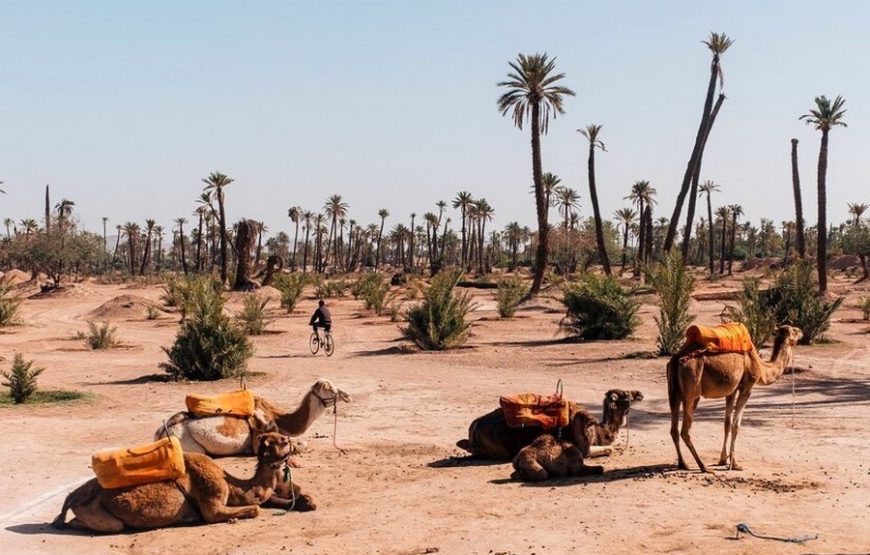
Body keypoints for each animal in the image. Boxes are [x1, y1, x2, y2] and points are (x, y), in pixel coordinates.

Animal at [52, 432, 316, 532]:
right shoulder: (212, 504)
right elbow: (255, 509)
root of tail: (71, 497)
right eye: (283, 440)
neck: (233, 486)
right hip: (99, 514)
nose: (298, 443)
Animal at [157, 380, 350, 458]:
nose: (347, 396)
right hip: (189, 444)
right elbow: (300, 445)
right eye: (328, 387)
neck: (279, 419)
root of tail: (161, 433)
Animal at [460, 388, 644, 462]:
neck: (599, 430)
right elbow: (610, 449)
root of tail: (473, 429)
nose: (640, 394)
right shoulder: (584, 449)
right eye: (626, 394)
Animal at [672, 326, 808, 474]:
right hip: (692, 388)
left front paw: (723, 460)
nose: (801, 331)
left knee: (674, 429)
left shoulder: (731, 390)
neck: (761, 367)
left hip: (675, 391)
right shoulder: (746, 388)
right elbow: (736, 425)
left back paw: (683, 464)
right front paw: (734, 464)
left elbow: (727, 423)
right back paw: (703, 467)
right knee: (685, 431)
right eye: (794, 331)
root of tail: (677, 357)